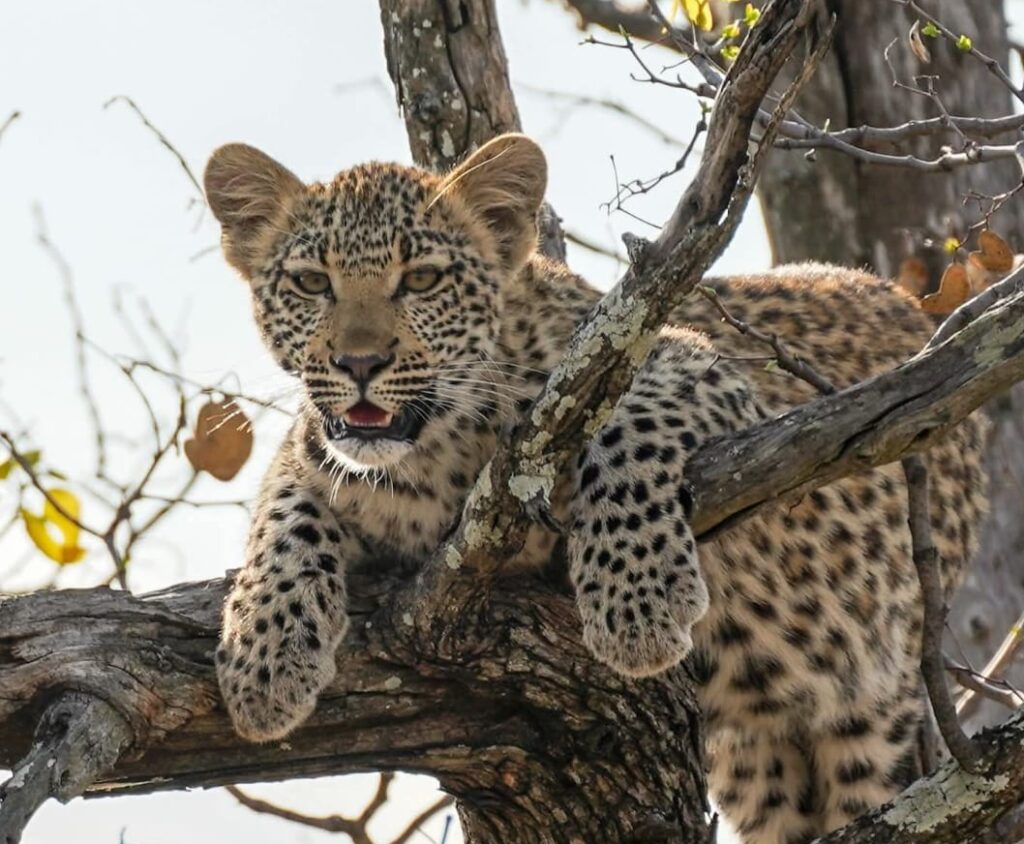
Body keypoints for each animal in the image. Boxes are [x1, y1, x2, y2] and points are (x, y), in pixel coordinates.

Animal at [204, 133, 986, 844]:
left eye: (422, 280)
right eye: (311, 284)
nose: (359, 363)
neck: (427, 459)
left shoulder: (697, 366)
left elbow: (626, 428)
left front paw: (635, 606)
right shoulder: (311, 450)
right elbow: (283, 517)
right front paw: (263, 664)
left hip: (875, 704)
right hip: (757, 756)